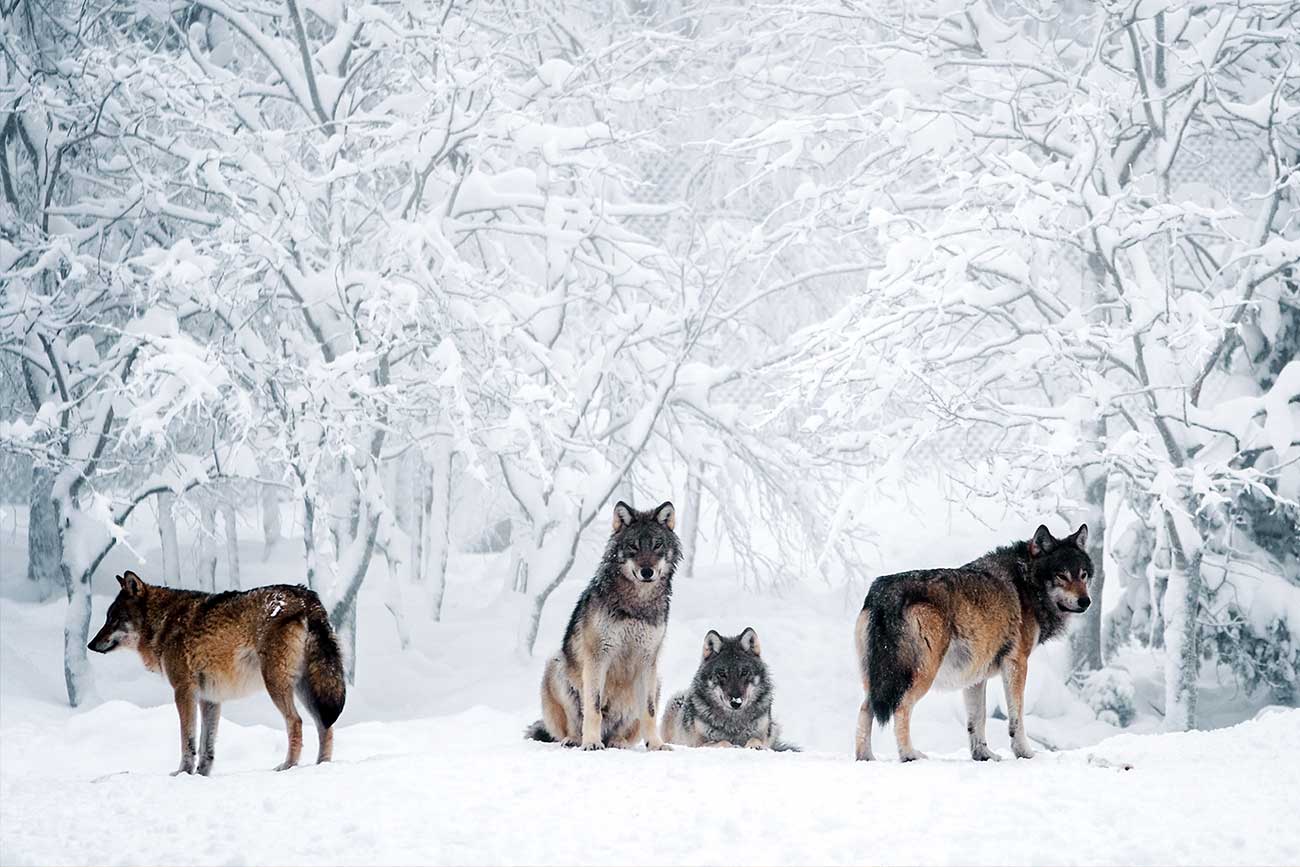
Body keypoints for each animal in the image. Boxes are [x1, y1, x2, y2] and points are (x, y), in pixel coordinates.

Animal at [89, 571, 348, 774]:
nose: (90, 645)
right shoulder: (209, 698)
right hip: (308, 687)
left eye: (114, 619)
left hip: (276, 684)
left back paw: (288, 766)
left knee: (296, 722)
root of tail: (307, 598)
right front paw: (201, 775)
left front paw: (182, 773)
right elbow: (207, 746)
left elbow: (188, 740)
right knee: (325, 725)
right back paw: (322, 766)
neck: (163, 622)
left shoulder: (183, 691)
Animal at [522, 501, 681, 753]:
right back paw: (576, 740)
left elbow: (649, 711)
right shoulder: (598, 656)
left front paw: (656, 745)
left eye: (657, 545)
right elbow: (593, 708)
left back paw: (618, 742)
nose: (647, 572)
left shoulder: (648, 660)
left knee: (623, 731)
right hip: (556, 665)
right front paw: (591, 742)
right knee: (571, 727)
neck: (636, 604)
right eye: (633, 546)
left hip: (657, 682)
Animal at [665, 626, 795, 748]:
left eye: (744, 672)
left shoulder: (763, 735)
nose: (736, 702)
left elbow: (755, 739)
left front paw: (755, 746)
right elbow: (722, 742)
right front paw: (732, 745)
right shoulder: (698, 744)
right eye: (722, 674)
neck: (734, 722)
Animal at [847, 522, 1092, 759]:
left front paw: (982, 755)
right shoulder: (1017, 663)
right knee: (901, 708)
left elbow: (978, 719)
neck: (1026, 583)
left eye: (1083, 575)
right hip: (920, 675)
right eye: (1061, 575)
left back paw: (865, 757)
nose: (1086, 601)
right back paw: (909, 755)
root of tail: (886, 593)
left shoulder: (975, 676)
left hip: (878, 678)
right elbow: (1017, 717)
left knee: (865, 710)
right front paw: (1025, 753)